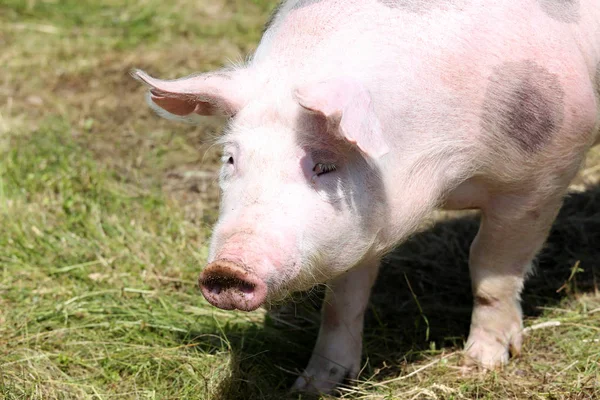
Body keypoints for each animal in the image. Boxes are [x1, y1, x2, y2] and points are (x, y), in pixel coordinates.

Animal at [134, 0, 600, 394]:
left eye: (324, 166)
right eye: (231, 158)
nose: (228, 267)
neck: (443, 175)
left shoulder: (543, 175)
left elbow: (490, 270)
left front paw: (483, 364)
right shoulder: (360, 224)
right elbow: (342, 300)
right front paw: (312, 386)